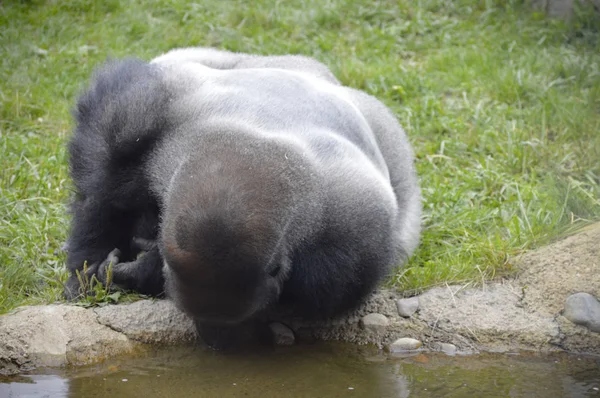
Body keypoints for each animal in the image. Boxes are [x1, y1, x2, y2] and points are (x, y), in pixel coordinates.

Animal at [64, 47, 422, 348]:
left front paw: (138, 270)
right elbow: (104, 188)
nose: (216, 341)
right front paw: (91, 270)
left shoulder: (355, 234)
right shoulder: (136, 116)